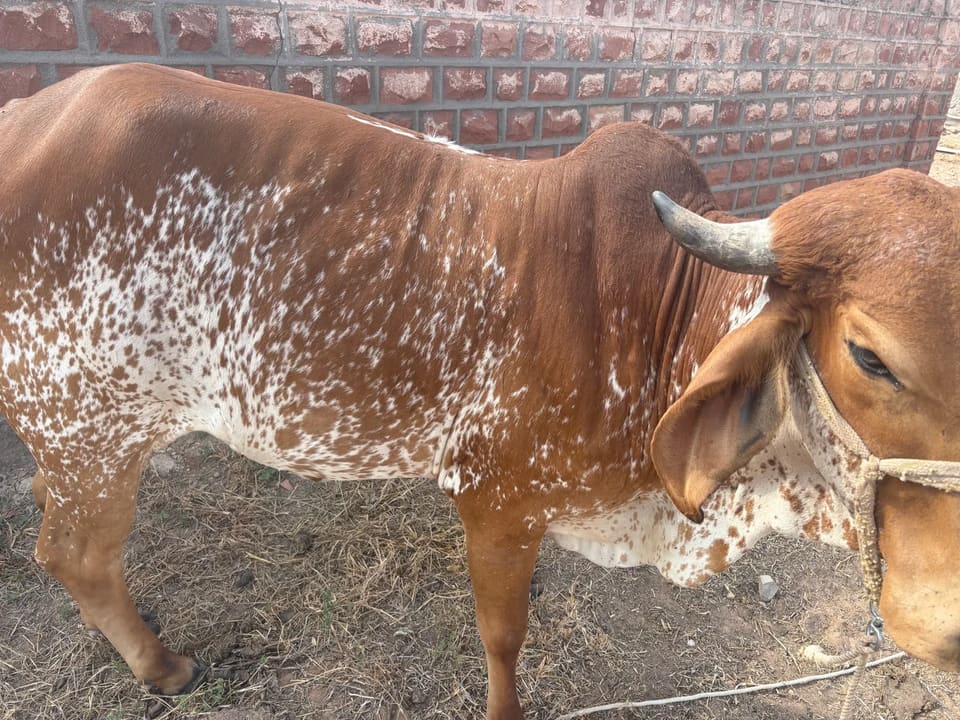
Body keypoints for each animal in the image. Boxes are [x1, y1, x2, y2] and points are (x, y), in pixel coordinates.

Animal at [0, 63, 958, 720]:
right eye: (869, 358)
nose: (944, 620)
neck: (658, 315)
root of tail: (29, 113)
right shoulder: (497, 502)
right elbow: (503, 638)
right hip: (95, 427)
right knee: (74, 554)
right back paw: (164, 667)